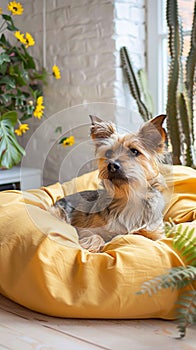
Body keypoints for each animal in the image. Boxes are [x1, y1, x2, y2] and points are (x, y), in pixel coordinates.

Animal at [51, 115, 168, 252]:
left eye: (134, 151)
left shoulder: (156, 234)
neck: (128, 196)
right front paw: (92, 245)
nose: (112, 165)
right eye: (108, 153)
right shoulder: (86, 229)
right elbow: (94, 235)